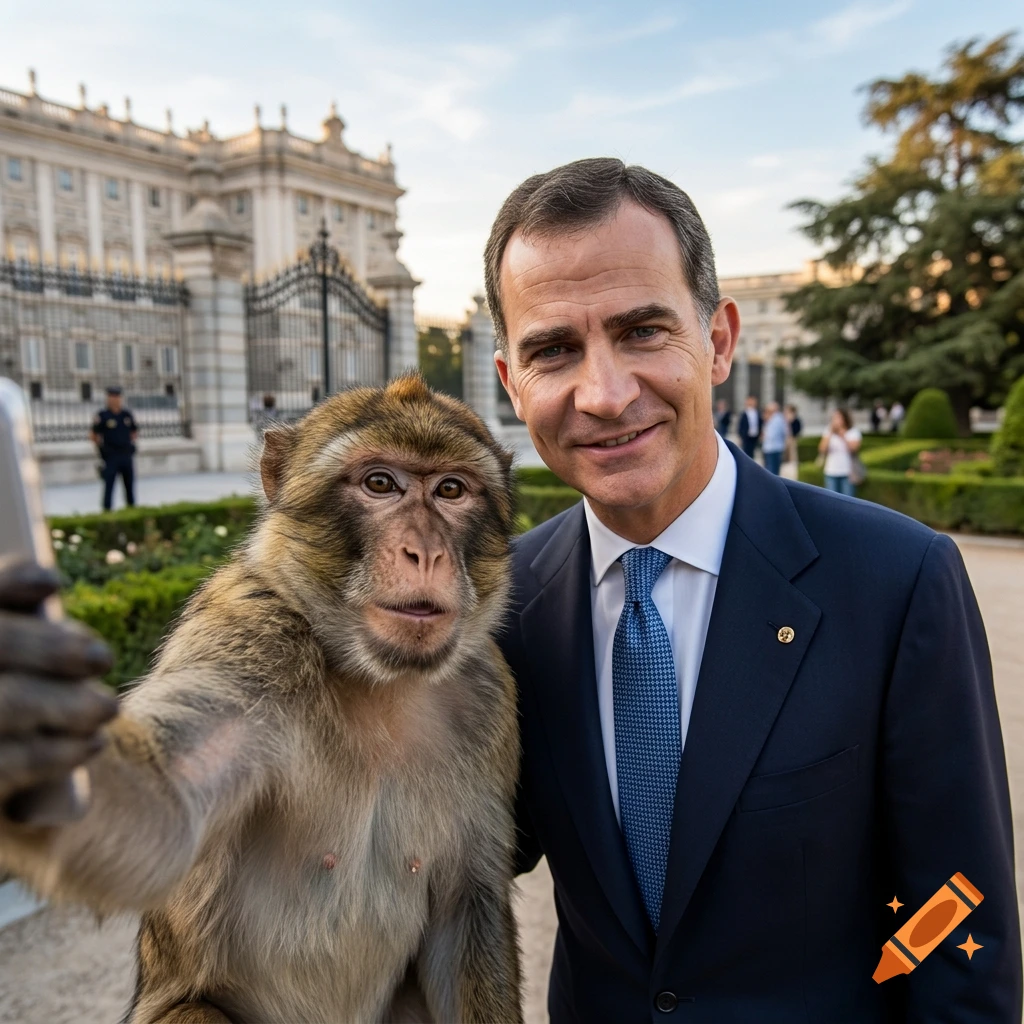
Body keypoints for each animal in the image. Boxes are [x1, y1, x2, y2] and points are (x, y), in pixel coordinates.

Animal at [0, 374, 523, 1024]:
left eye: (451, 489)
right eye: (380, 483)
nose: (424, 552)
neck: (378, 680)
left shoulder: (486, 694)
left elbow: (466, 910)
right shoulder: (253, 638)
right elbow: (161, 812)